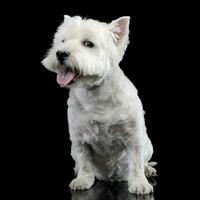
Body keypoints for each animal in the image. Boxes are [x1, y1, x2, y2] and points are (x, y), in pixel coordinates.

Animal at [42, 16, 157, 195]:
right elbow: (84, 161)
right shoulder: (79, 139)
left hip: (148, 144)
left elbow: (136, 161)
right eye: (62, 41)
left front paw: (139, 183)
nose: (60, 53)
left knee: (144, 160)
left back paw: (148, 170)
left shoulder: (134, 136)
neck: (96, 95)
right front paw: (82, 180)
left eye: (88, 44)